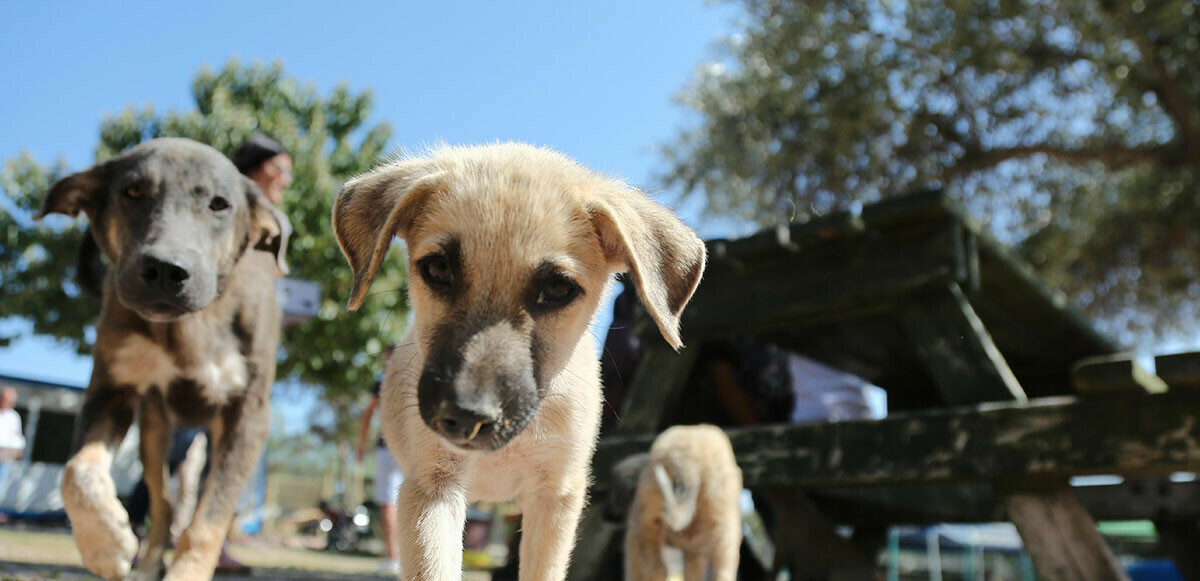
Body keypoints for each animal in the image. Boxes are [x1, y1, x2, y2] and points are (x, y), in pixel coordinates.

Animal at [38, 137, 289, 581]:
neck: (189, 326)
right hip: (154, 431)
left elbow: (209, 519)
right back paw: (148, 561)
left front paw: (188, 571)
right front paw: (105, 544)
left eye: (219, 204)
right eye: (133, 192)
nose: (165, 270)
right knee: (163, 502)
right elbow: (76, 471)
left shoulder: (248, 415)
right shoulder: (111, 389)